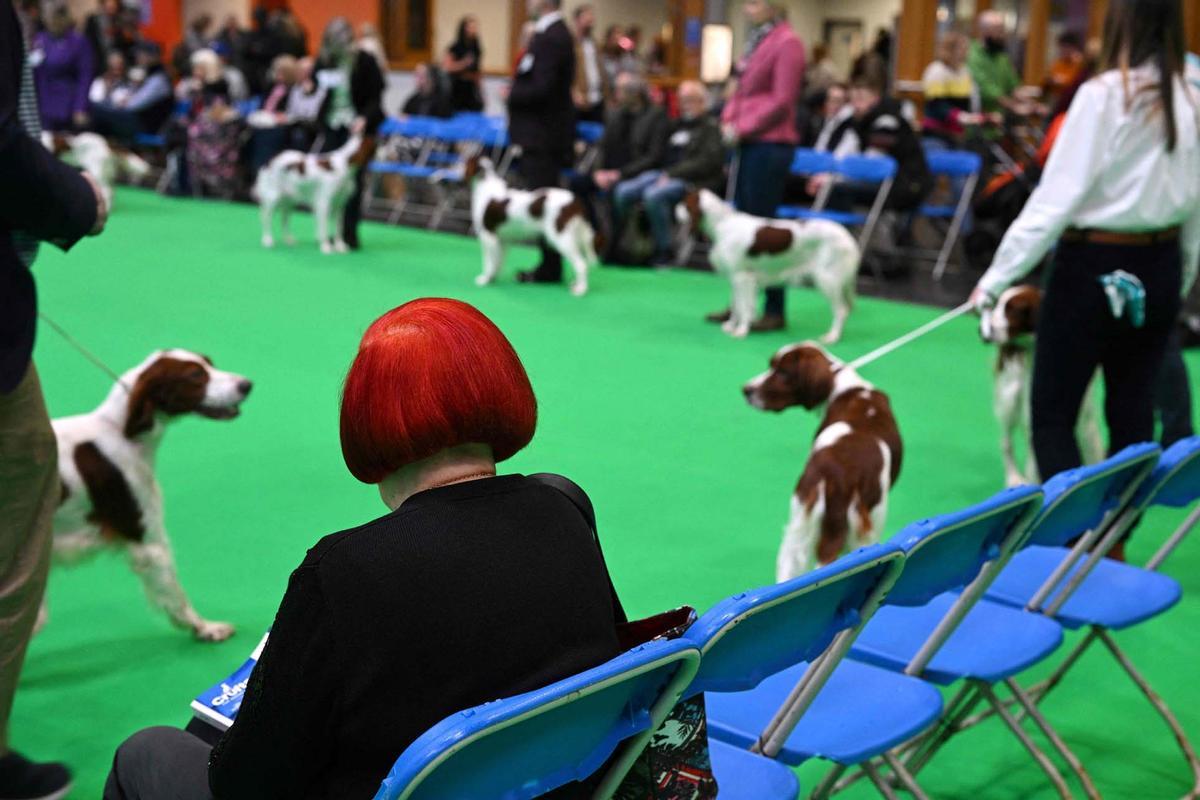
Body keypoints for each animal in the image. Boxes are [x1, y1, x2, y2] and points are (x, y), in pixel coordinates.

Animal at [46, 352, 250, 642]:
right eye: (195, 375)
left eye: (210, 363)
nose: (246, 385)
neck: (121, 430)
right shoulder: (149, 541)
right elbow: (177, 597)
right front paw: (206, 628)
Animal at [465, 154, 604, 296]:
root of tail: (575, 201)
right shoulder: (502, 240)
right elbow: (498, 262)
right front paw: (493, 278)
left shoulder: (488, 235)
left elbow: (489, 262)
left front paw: (485, 279)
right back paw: (576, 283)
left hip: (561, 237)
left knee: (581, 264)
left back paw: (581, 289)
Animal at [676, 189, 864, 343]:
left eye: (685, 203)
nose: (675, 209)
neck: (722, 224)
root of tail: (847, 236)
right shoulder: (736, 278)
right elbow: (736, 304)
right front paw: (731, 325)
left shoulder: (743, 277)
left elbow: (743, 306)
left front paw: (741, 331)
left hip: (827, 279)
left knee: (841, 310)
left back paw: (832, 336)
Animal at [979, 287, 1099, 489]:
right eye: (997, 305)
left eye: (1012, 309)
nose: (982, 331)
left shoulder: (1086, 428)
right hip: (1009, 400)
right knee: (1006, 442)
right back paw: (1013, 478)